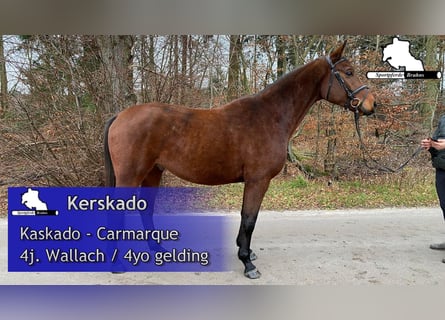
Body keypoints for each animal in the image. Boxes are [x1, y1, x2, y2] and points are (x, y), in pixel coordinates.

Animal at [103, 41, 374, 278]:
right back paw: (117, 265)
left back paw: (158, 250)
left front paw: (247, 253)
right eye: (349, 72)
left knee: (146, 212)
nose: (372, 104)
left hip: (153, 172)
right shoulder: (258, 180)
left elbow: (247, 219)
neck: (270, 116)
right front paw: (247, 262)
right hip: (131, 176)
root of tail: (120, 116)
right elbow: (249, 218)